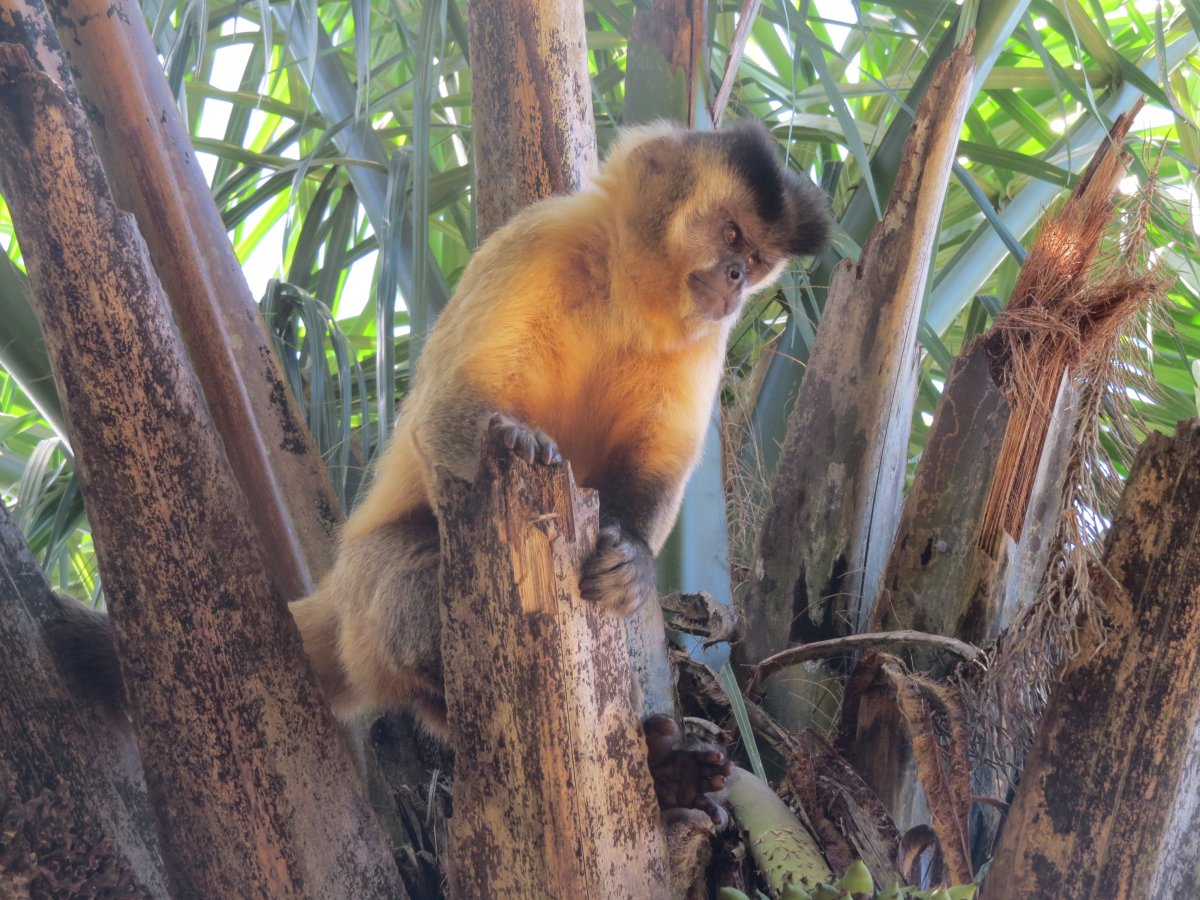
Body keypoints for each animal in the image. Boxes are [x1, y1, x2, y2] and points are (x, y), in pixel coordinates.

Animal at [49, 120, 835, 825]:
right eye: (729, 235)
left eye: (758, 258)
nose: (736, 278)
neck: (621, 292)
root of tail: (333, 589)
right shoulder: (537, 240)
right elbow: (447, 405)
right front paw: (516, 440)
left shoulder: (709, 336)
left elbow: (655, 466)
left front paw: (634, 561)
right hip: (364, 594)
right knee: (408, 585)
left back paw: (662, 771)